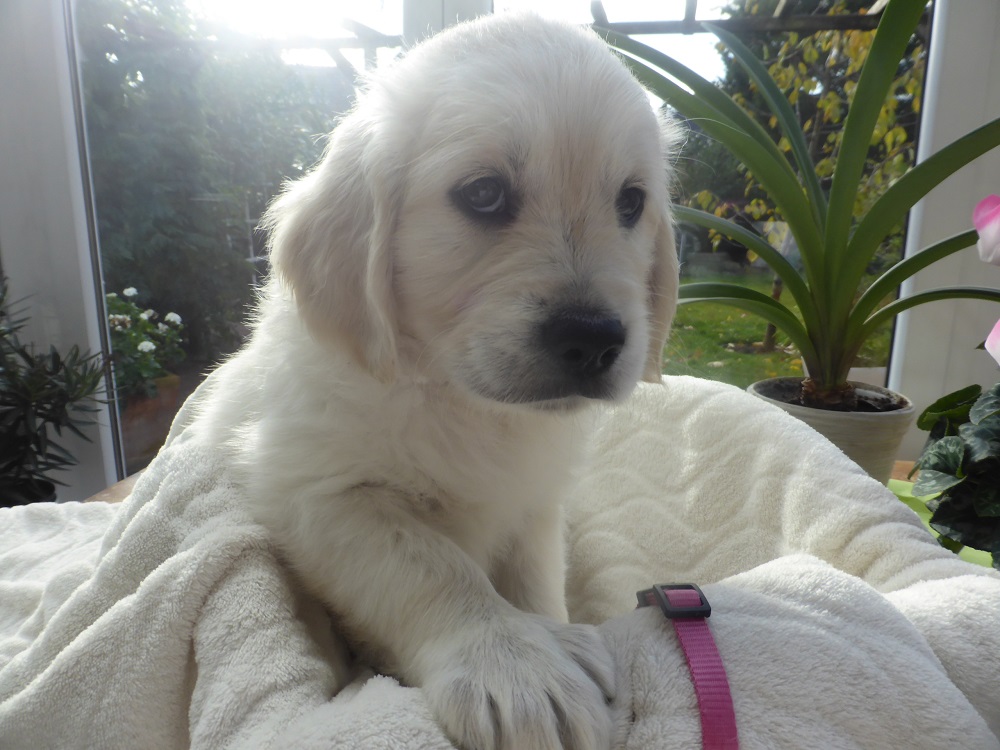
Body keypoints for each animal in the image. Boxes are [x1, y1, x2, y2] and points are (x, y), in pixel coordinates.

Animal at [188, 13, 678, 750]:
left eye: (630, 202)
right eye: (483, 194)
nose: (595, 339)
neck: (457, 398)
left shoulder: (534, 503)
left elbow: (534, 578)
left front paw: (551, 631)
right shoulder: (314, 490)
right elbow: (432, 567)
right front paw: (514, 662)